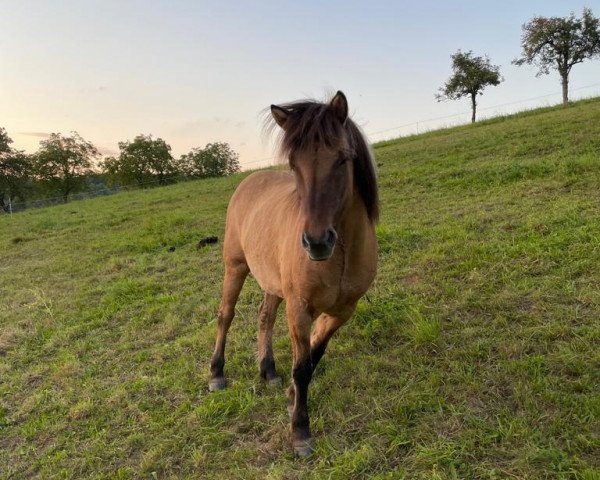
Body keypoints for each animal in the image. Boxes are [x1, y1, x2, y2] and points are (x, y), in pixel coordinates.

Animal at [210, 91, 380, 458]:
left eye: (342, 160)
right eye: (293, 165)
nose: (316, 242)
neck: (340, 255)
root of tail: (250, 180)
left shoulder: (342, 311)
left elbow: (313, 356)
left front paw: (290, 397)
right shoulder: (299, 307)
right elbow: (302, 367)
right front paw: (301, 431)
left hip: (273, 285)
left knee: (264, 317)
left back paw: (268, 370)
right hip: (235, 267)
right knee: (225, 316)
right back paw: (216, 373)